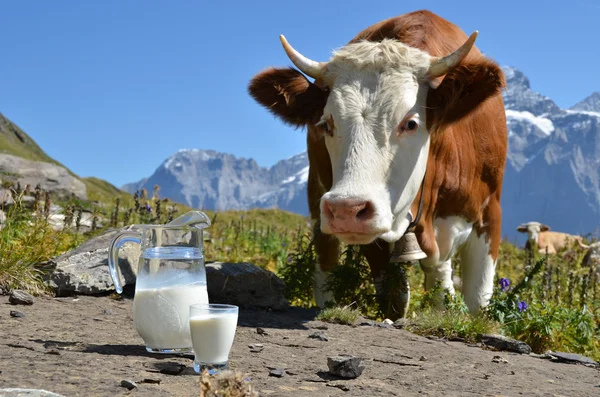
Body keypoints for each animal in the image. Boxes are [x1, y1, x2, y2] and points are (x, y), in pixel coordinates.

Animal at [247, 10, 506, 318]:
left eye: (410, 123)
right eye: (326, 124)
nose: (346, 209)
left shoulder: (490, 211)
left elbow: (477, 300)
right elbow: (396, 297)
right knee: (326, 266)